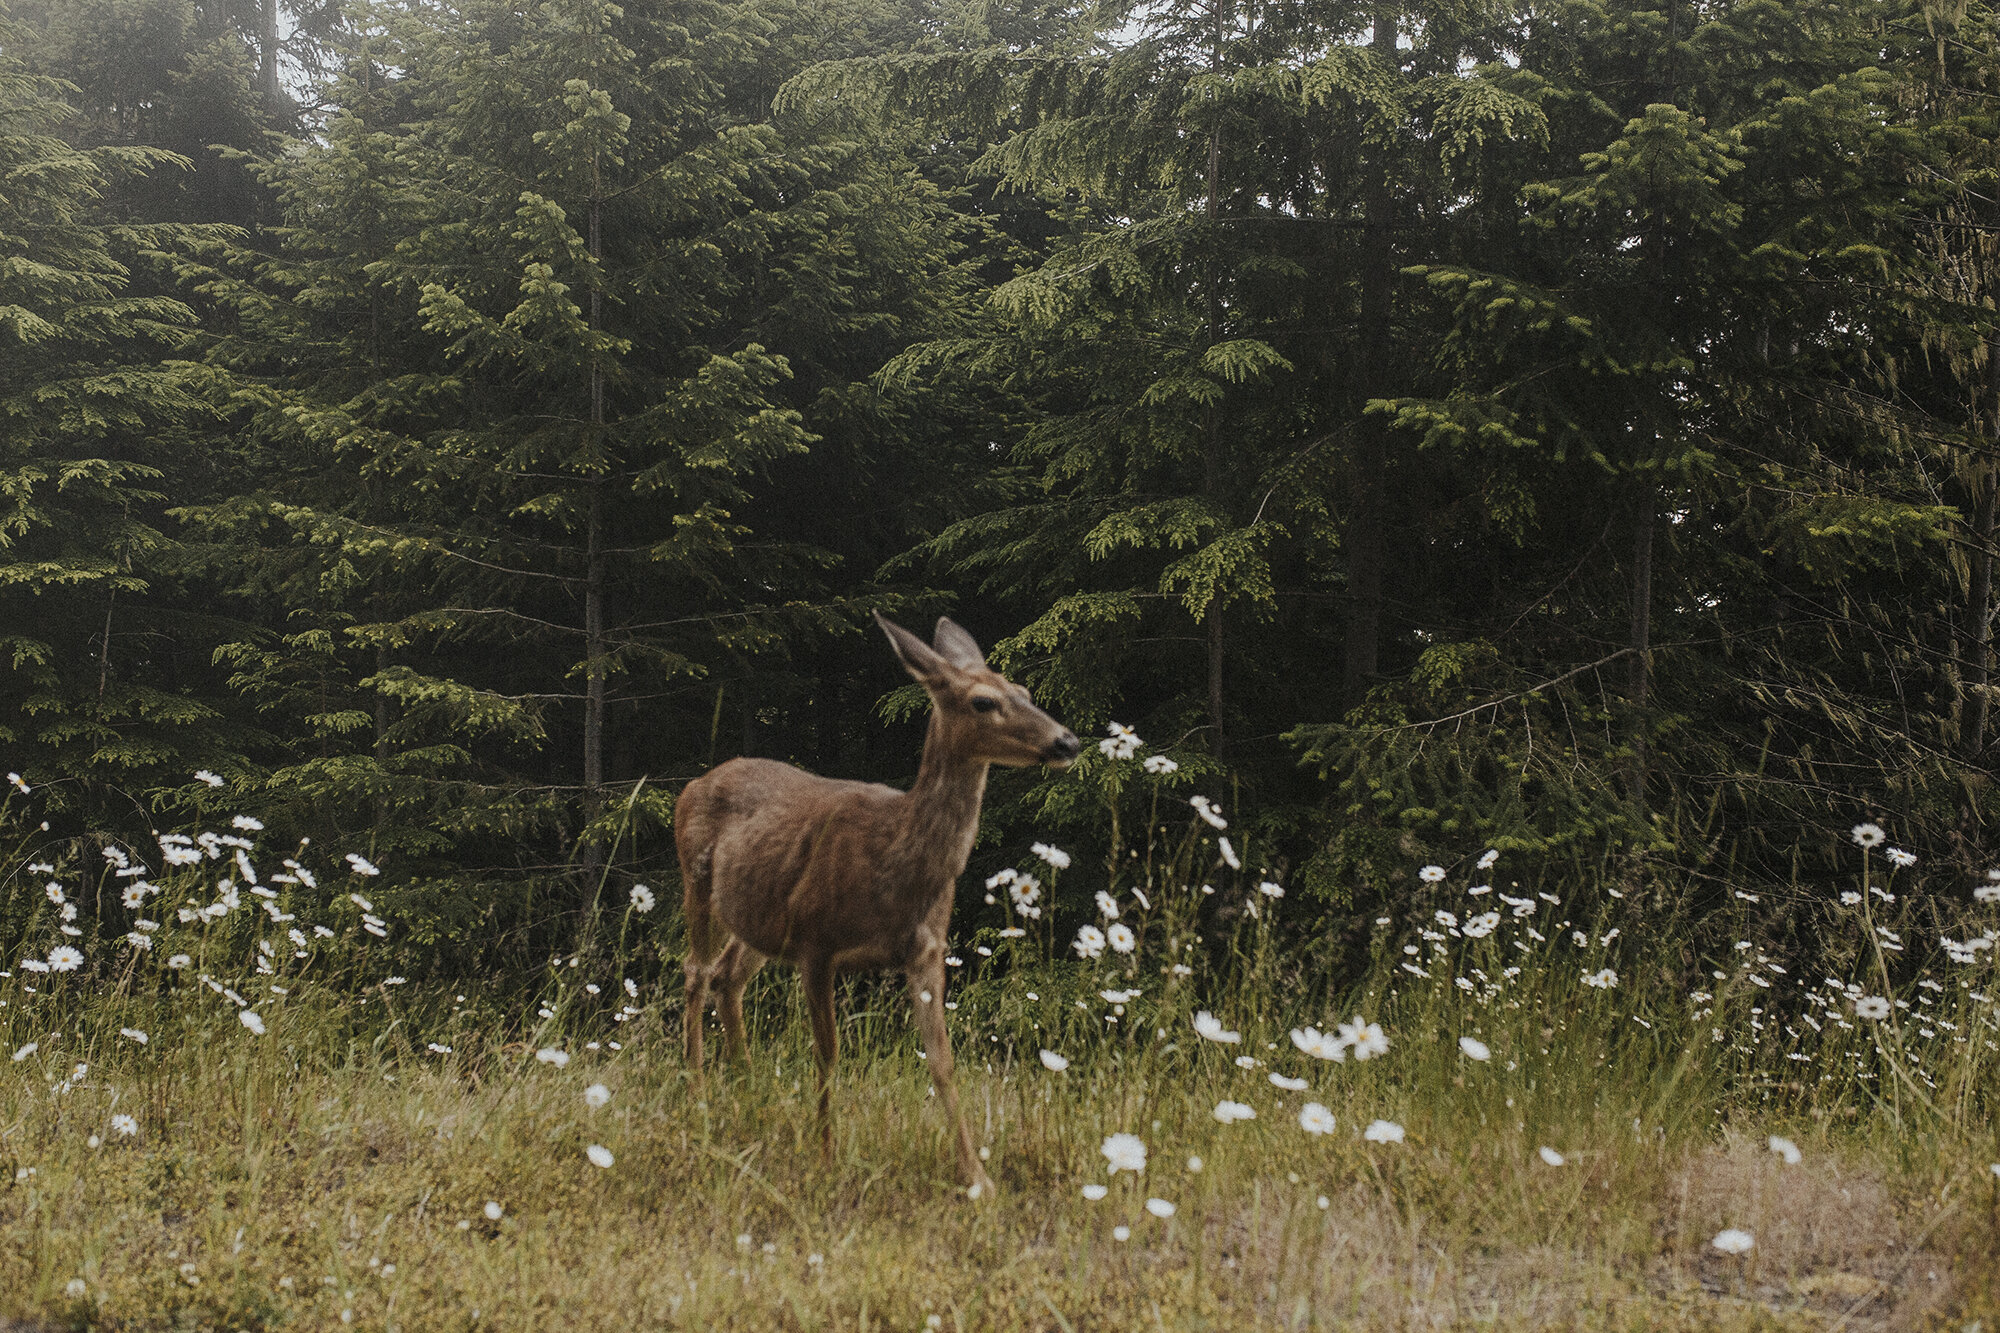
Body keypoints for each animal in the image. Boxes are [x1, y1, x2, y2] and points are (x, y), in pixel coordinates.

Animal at [672, 612, 1080, 1192]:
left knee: (728, 976)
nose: (1067, 741)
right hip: (698, 878)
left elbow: (942, 1063)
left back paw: (750, 1098)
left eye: (1023, 691)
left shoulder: (926, 949)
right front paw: (825, 1158)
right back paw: (700, 1096)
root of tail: (694, 783)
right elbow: (828, 1055)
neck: (894, 866)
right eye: (982, 701)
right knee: (695, 972)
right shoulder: (816, 942)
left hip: (760, 917)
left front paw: (976, 1177)